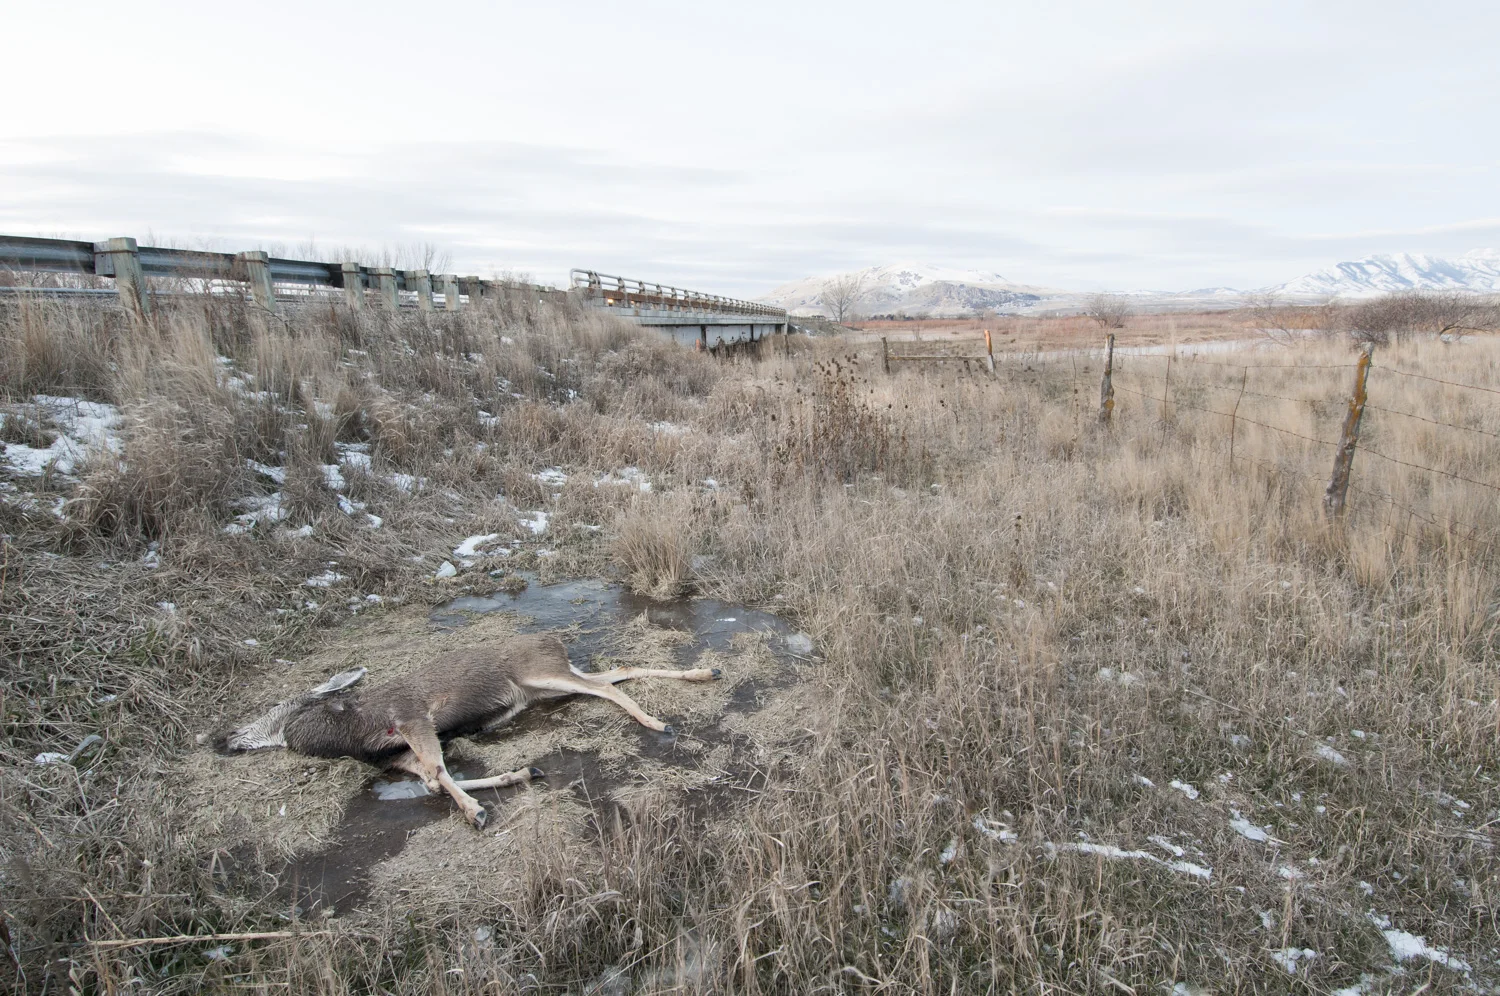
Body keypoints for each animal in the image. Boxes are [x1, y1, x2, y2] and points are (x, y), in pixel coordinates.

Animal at [227, 633, 722, 828]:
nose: (228, 740)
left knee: (606, 688)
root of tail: (554, 641)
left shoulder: (413, 717)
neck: (353, 729)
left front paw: (475, 811)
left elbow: (436, 770)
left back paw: (656, 719)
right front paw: (515, 778)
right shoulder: (397, 756)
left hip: (542, 675)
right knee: (615, 673)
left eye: (275, 712)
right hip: (545, 686)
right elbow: (439, 777)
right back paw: (705, 672)